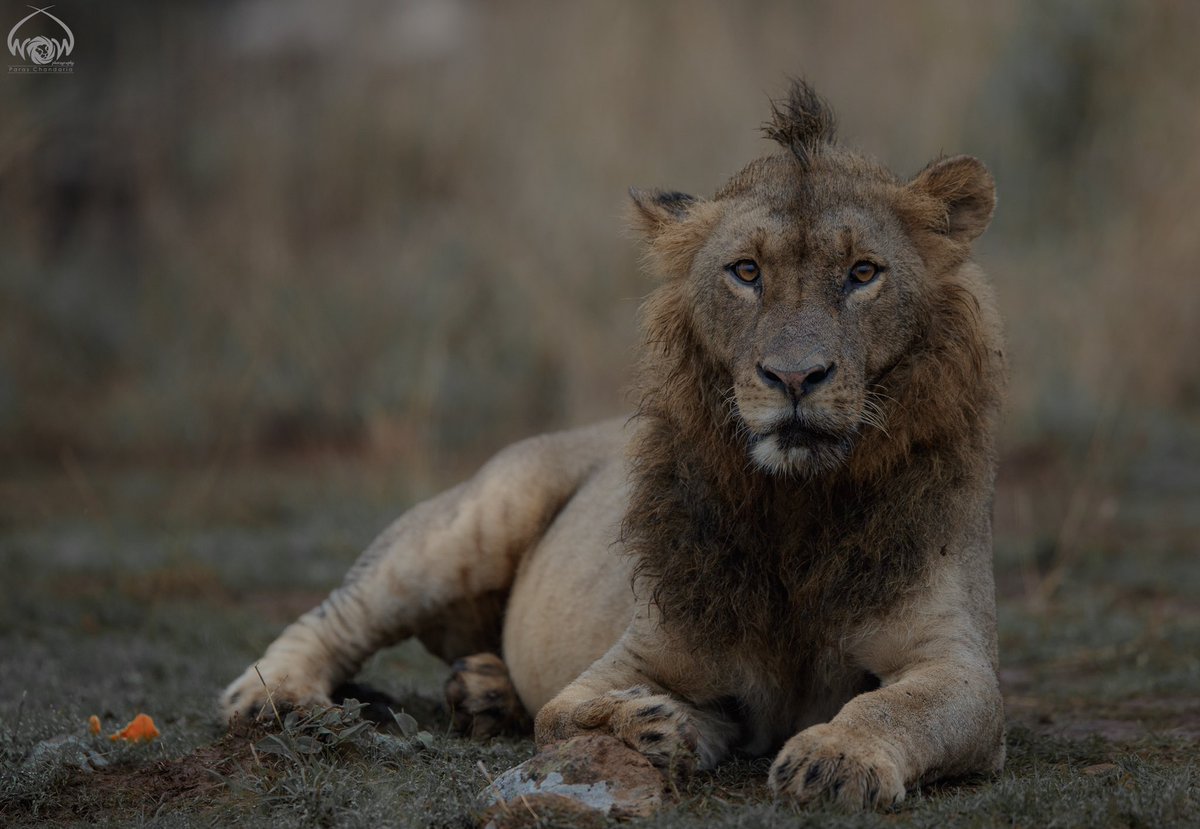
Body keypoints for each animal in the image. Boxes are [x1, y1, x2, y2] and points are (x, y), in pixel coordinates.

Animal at [221, 80, 1006, 810]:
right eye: (747, 272)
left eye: (862, 273)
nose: (793, 377)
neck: (795, 507)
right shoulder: (631, 653)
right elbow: (566, 713)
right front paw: (663, 726)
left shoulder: (962, 667)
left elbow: (894, 703)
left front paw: (835, 758)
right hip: (472, 520)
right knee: (335, 615)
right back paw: (272, 696)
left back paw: (482, 690)